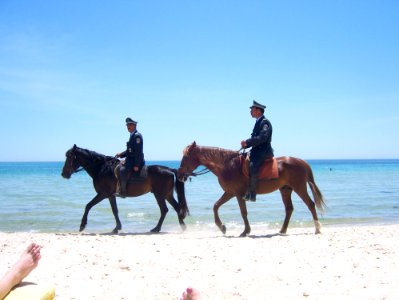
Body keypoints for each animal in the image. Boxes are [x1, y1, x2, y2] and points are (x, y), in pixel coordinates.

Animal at [61, 144, 189, 233]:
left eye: (69, 157)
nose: (63, 174)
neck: (101, 168)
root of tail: (169, 169)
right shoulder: (110, 196)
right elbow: (115, 210)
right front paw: (117, 227)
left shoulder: (103, 194)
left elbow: (88, 206)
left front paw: (82, 225)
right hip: (167, 195)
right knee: (177, 208)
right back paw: (182, 227)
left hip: (159, 195)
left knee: (164, 210)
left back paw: (156, 228)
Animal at [179, 142, 328, 238]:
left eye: (185, 157)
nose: (179, 175)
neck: (228, 166)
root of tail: (301, 161)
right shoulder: (230, 192)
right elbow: (215, 206)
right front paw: (222, 227)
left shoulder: (238, 194)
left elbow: (243, 212)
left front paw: (245, 231)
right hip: (285, 190)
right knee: (289, 209)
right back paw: (282, 230)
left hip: (299, 188)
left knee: (310, 204)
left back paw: (317, 229)